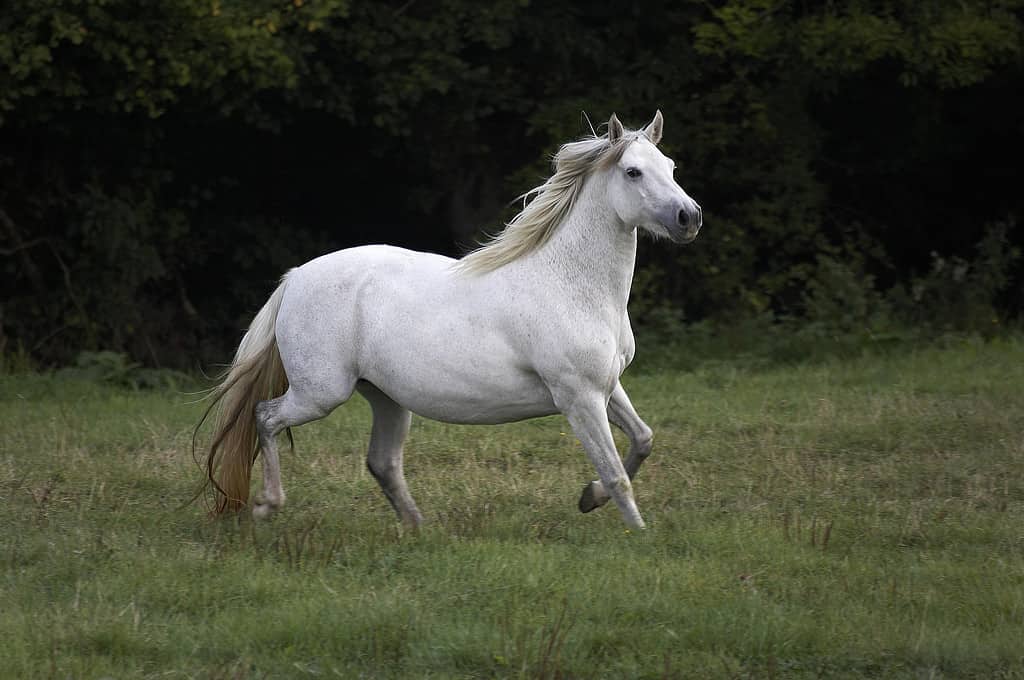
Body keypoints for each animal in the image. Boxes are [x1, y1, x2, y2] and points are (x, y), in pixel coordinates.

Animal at [195, 111, 700, 528]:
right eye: (633, 171)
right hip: (321, 393)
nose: (689, 217)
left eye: (671, 166)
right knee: (265, 417)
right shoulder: (579, 397)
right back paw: (268, 505)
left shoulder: (606, 387)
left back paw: (419, 530)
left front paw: (588, 499)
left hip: (385, 397)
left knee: (382, 462)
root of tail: (296, 278)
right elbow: (616, 474)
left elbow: (643, 440)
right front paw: (637, 534)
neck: (570, 284)